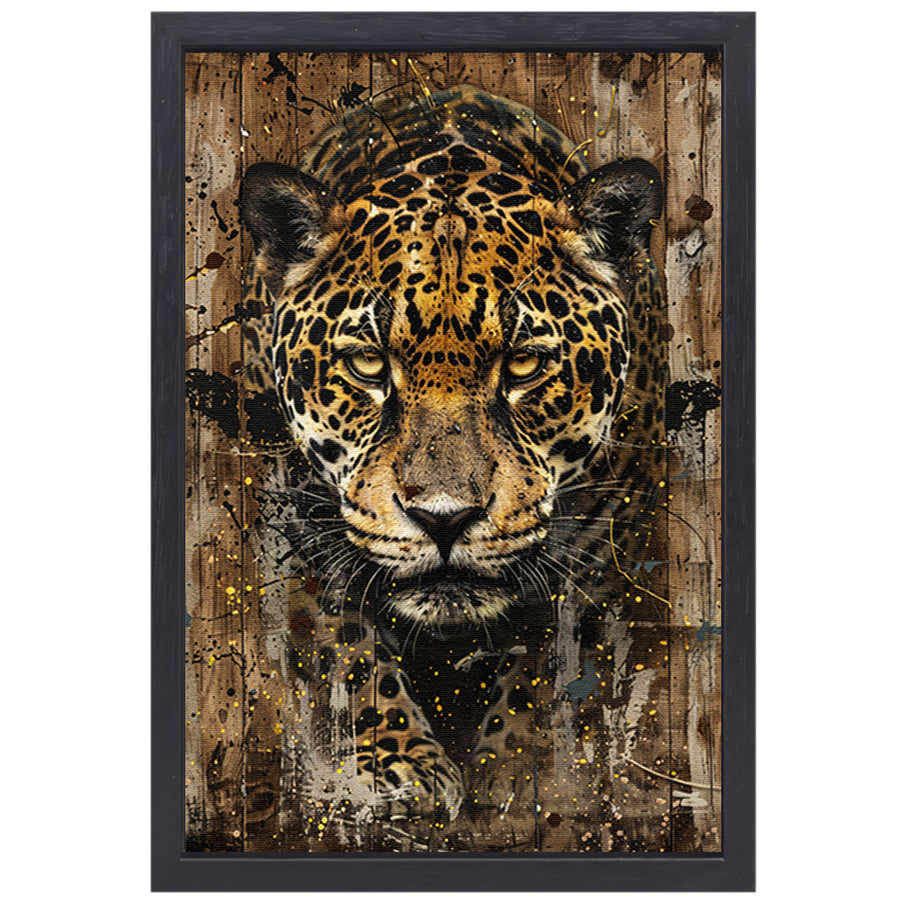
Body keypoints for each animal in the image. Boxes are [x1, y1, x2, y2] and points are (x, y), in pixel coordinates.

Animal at [235, 85, 670, 829]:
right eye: (368, 364)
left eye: (522, 363)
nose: (444, 519)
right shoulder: (304, 528)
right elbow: (348, 651)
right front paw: (396, 767)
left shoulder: (599, 554)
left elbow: (548, 674)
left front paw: (521, 773)